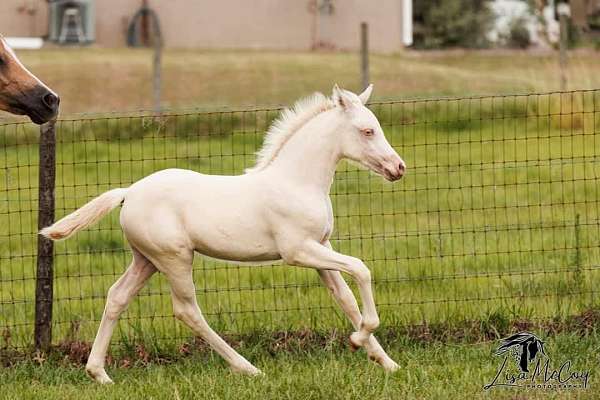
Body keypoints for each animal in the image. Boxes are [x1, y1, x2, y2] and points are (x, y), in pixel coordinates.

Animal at [41, 83, 408, 382]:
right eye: (367, 131)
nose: (399, 168)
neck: (296, 182)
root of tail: (128, 192)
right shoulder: (298, 251)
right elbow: (361, 269)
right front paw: (359, 338)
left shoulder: (321, 247)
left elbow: (346, 298)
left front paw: (385, 361)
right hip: (174, 258)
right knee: (187, 310)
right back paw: (247, 367)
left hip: (145, 259)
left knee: (117, 297)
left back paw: (99, 373)